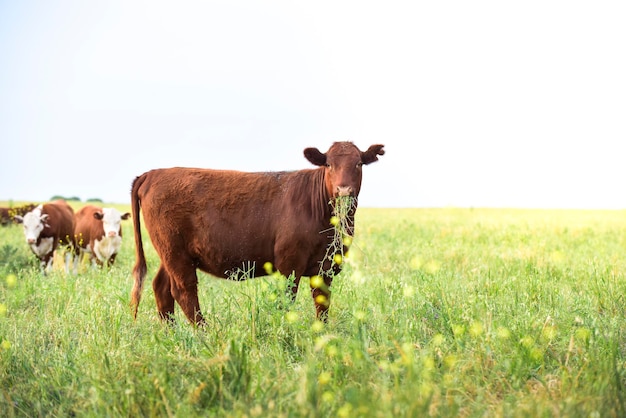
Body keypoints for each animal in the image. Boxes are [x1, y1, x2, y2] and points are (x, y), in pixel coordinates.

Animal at [129, 142, 382, 324]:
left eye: (359, 164)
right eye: (328, 164)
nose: (344, 190)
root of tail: (153, 174)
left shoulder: (326, 266)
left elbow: (322, 303)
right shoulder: (289, 263)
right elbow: (287, 299)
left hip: (171, 253)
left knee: (162, 288)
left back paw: (171, 332)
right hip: (175, 253)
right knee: (184, 290)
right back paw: (204, 334)